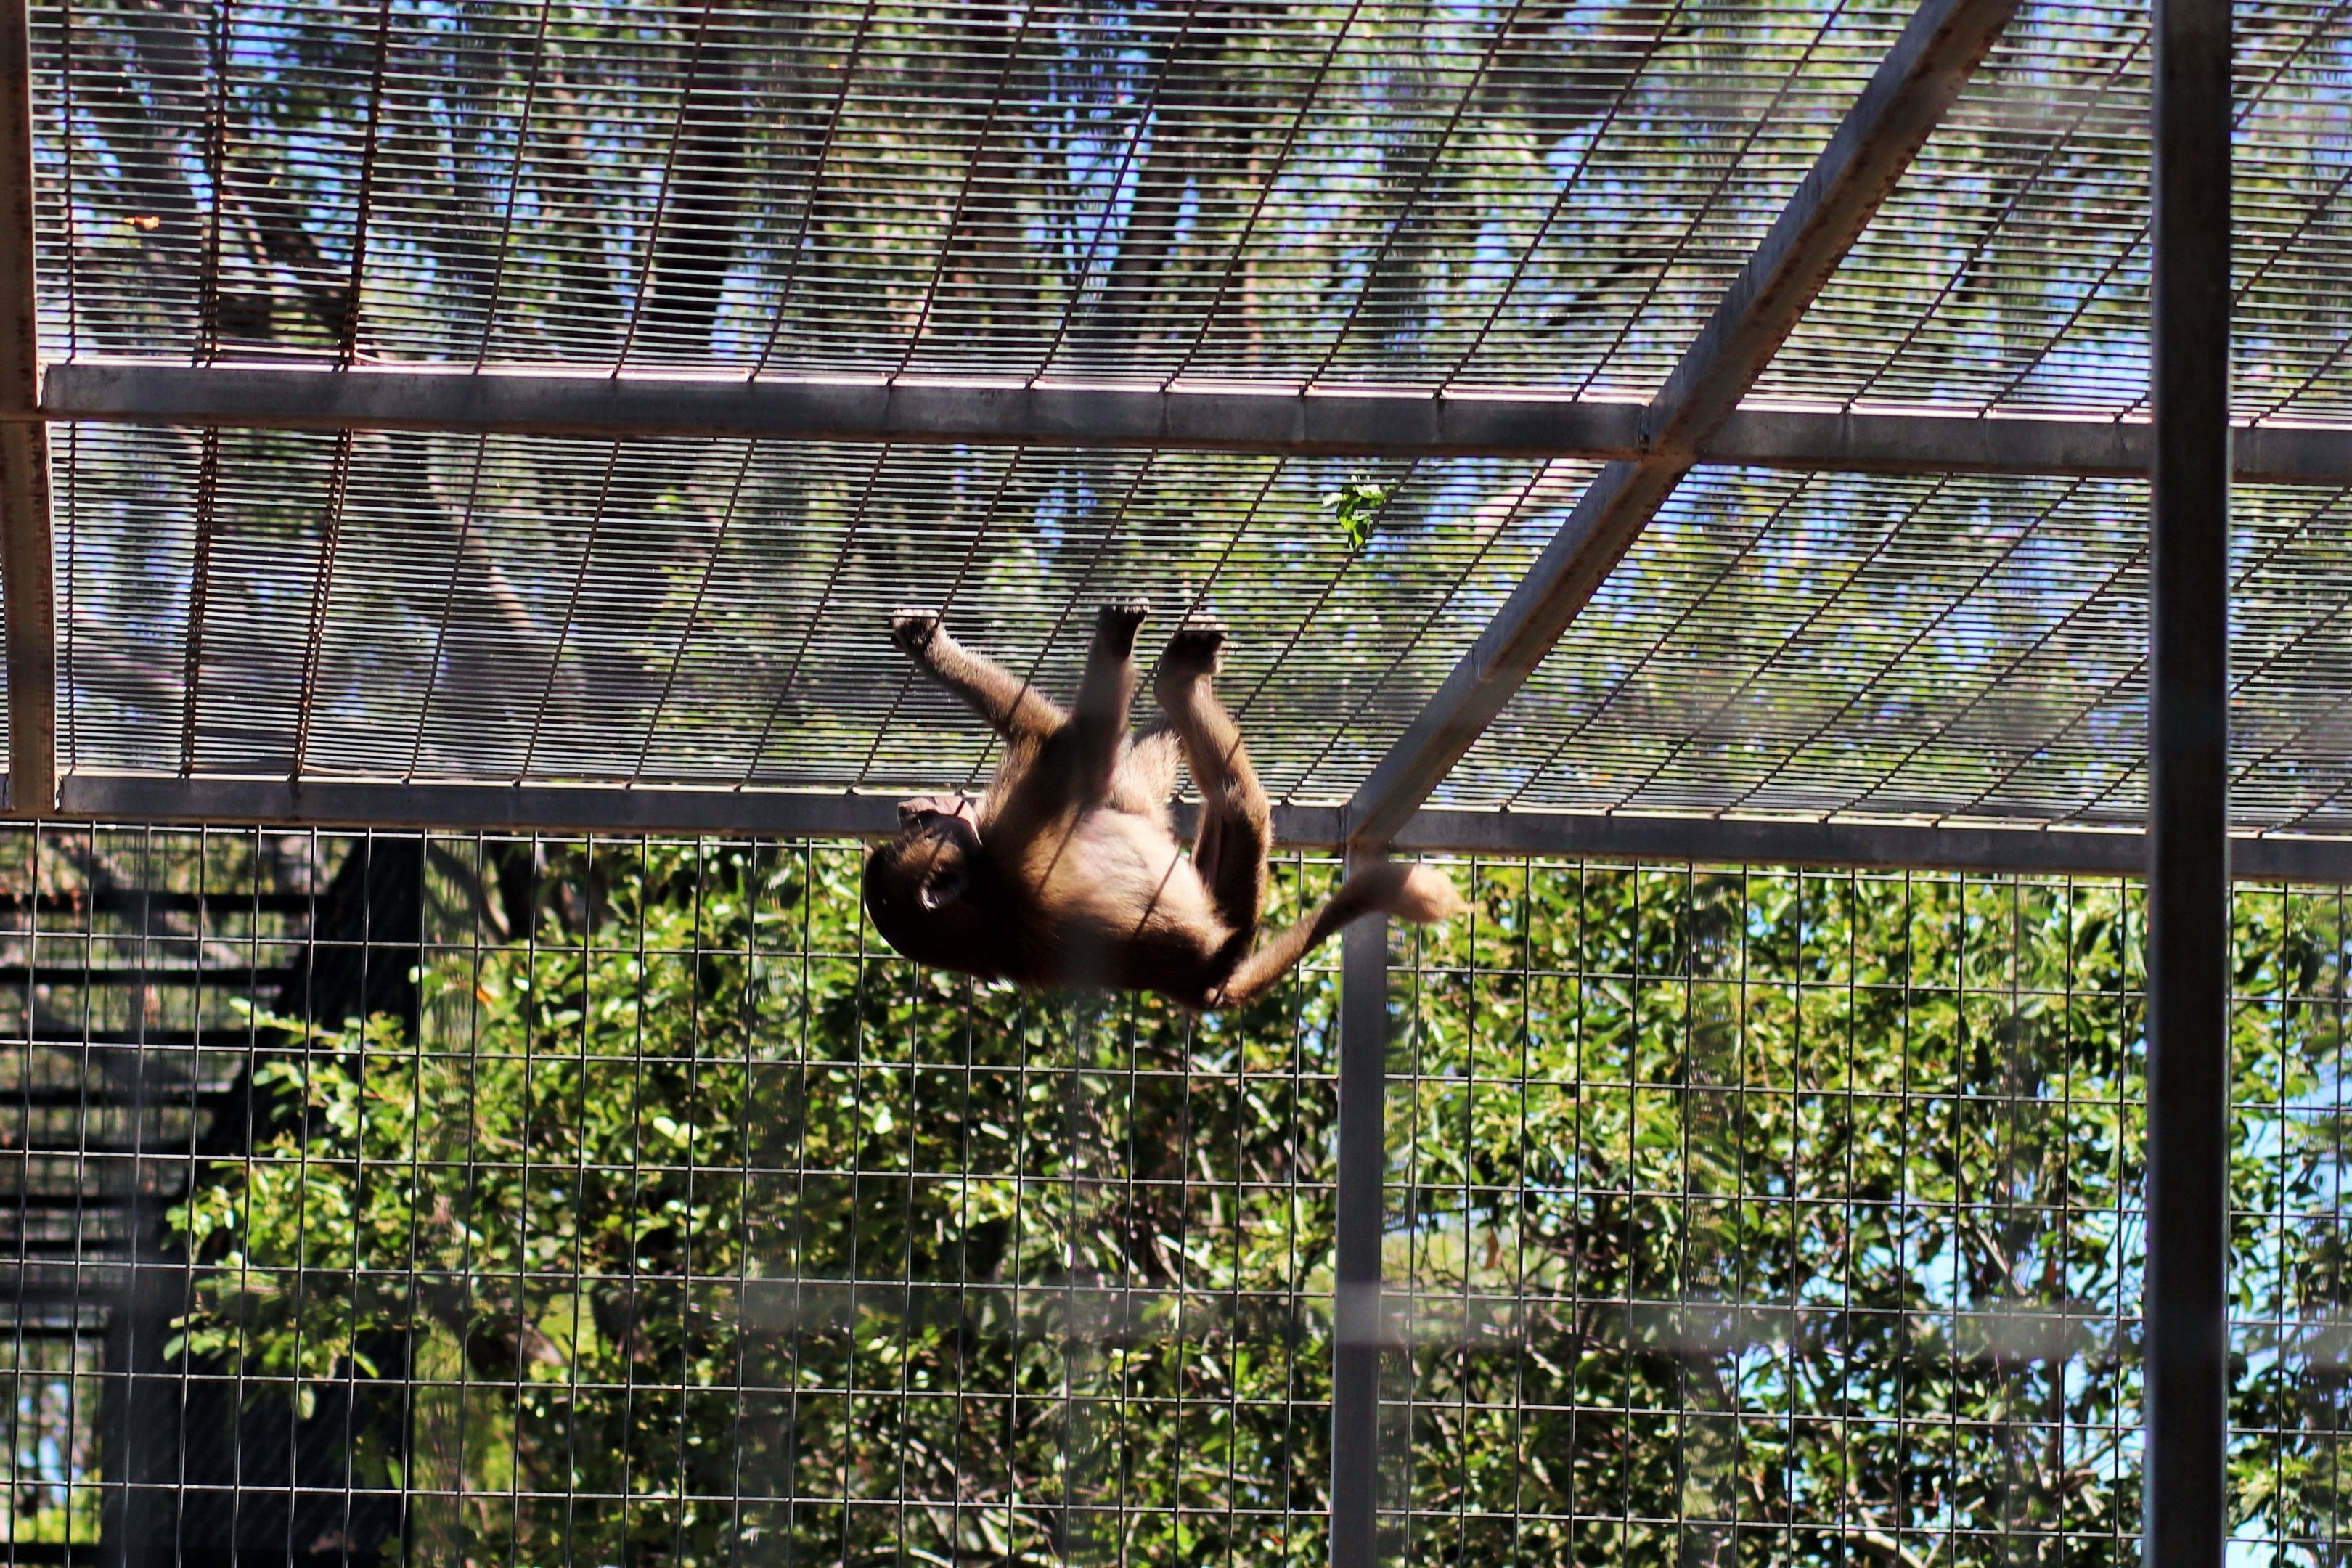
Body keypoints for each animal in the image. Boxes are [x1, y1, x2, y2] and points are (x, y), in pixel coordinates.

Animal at [862, 600, 1466, 1010]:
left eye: (921, 823)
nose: (919, 808)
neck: (988, 904)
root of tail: (1206, 983)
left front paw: (925, 646)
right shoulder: (1015, 841)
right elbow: (1081, 752)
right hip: (1235, 915)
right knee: (1237, 800)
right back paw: (1178, 680)